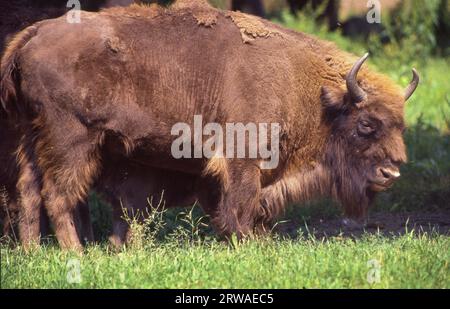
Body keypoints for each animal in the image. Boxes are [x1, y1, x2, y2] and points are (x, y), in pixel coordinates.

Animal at [0, 0, 418, 249]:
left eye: (400, 127)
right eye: (366, 124)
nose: (392, 173)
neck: (312, 92)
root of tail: (31, 35)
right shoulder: (243, 159)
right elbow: (242, 204)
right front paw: (247, 242)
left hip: (30, 138)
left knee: (28, 191)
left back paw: (34, 251)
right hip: (71, 140)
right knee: (58, 194)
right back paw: (78, 254)